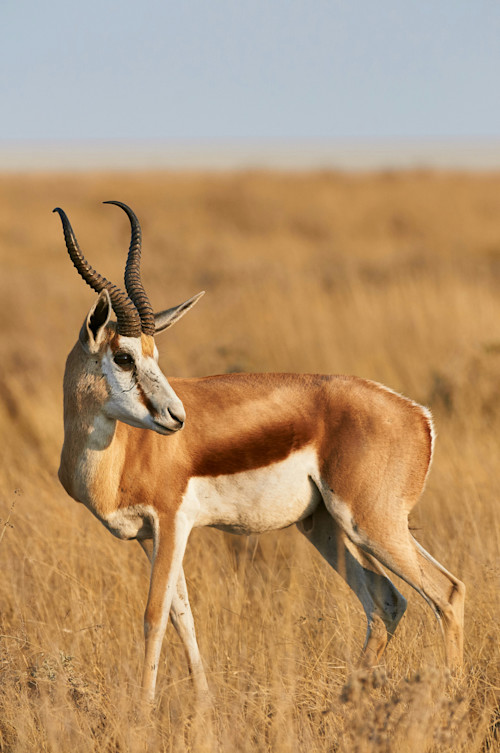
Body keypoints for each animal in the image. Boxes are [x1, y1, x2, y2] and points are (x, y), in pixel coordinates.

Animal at [54, 202, 465, 704]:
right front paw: (205, 706)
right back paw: (340, 705)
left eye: (153, 355)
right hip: (326, 526)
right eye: (125, 357)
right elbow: (183, 617)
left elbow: (153, 617)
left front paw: (144, 712)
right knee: (387, 600)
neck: (120, 455)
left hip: (370, 523)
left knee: (446, 592)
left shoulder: (172, 524)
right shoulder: (150, 538)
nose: (176, 417)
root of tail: (418, 414)